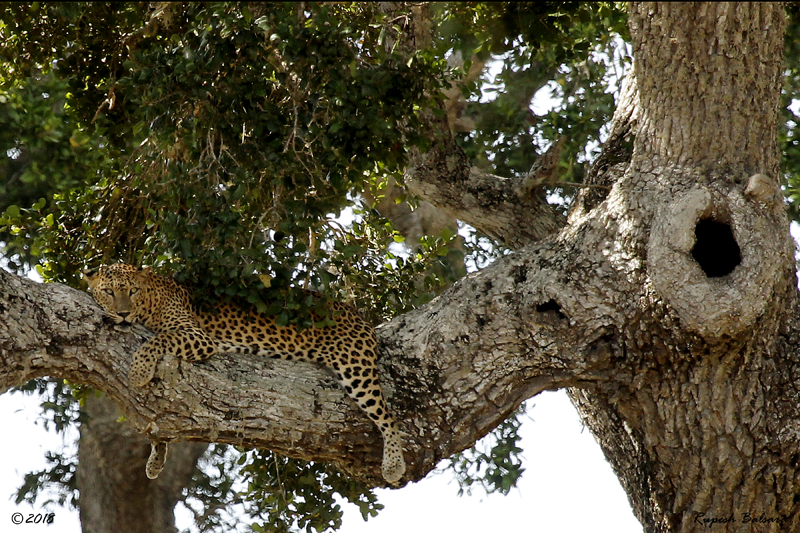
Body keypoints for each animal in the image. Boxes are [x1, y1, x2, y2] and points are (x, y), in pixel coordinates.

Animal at [84, 263, 406, 483]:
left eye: (132, 291)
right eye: (109, 292)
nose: (123, 314)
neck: (149, 300)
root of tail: (355, 313)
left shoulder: (197, 336)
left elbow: (157, 340)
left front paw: (139, 371)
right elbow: (158, 422)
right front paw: (156, 458)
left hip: (355, 365)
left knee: (388, 416)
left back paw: (393, 464)